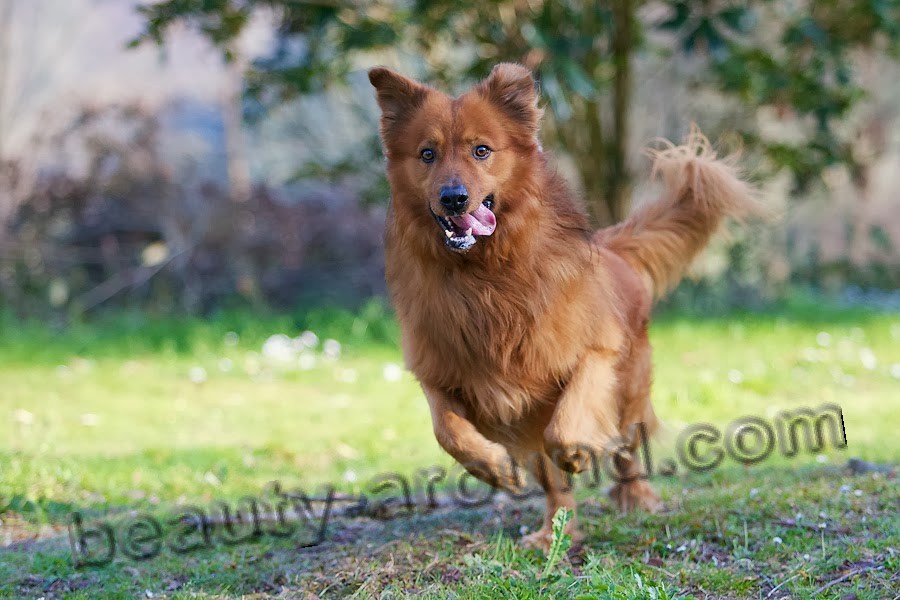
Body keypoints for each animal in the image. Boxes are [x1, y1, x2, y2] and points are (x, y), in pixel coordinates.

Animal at [370, 63, 756, 552]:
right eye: (427, 154)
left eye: (481, 150)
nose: (453, 197)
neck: (485, 275)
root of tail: (609, 247)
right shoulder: (438, 368)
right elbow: (449, 431)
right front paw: (497, 470)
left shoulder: (593, 355)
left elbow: (569, 425)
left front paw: (576, 453)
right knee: (554, 481)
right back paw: (556, 530)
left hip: (629, 386)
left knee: (625, 443)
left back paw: (635, 495)